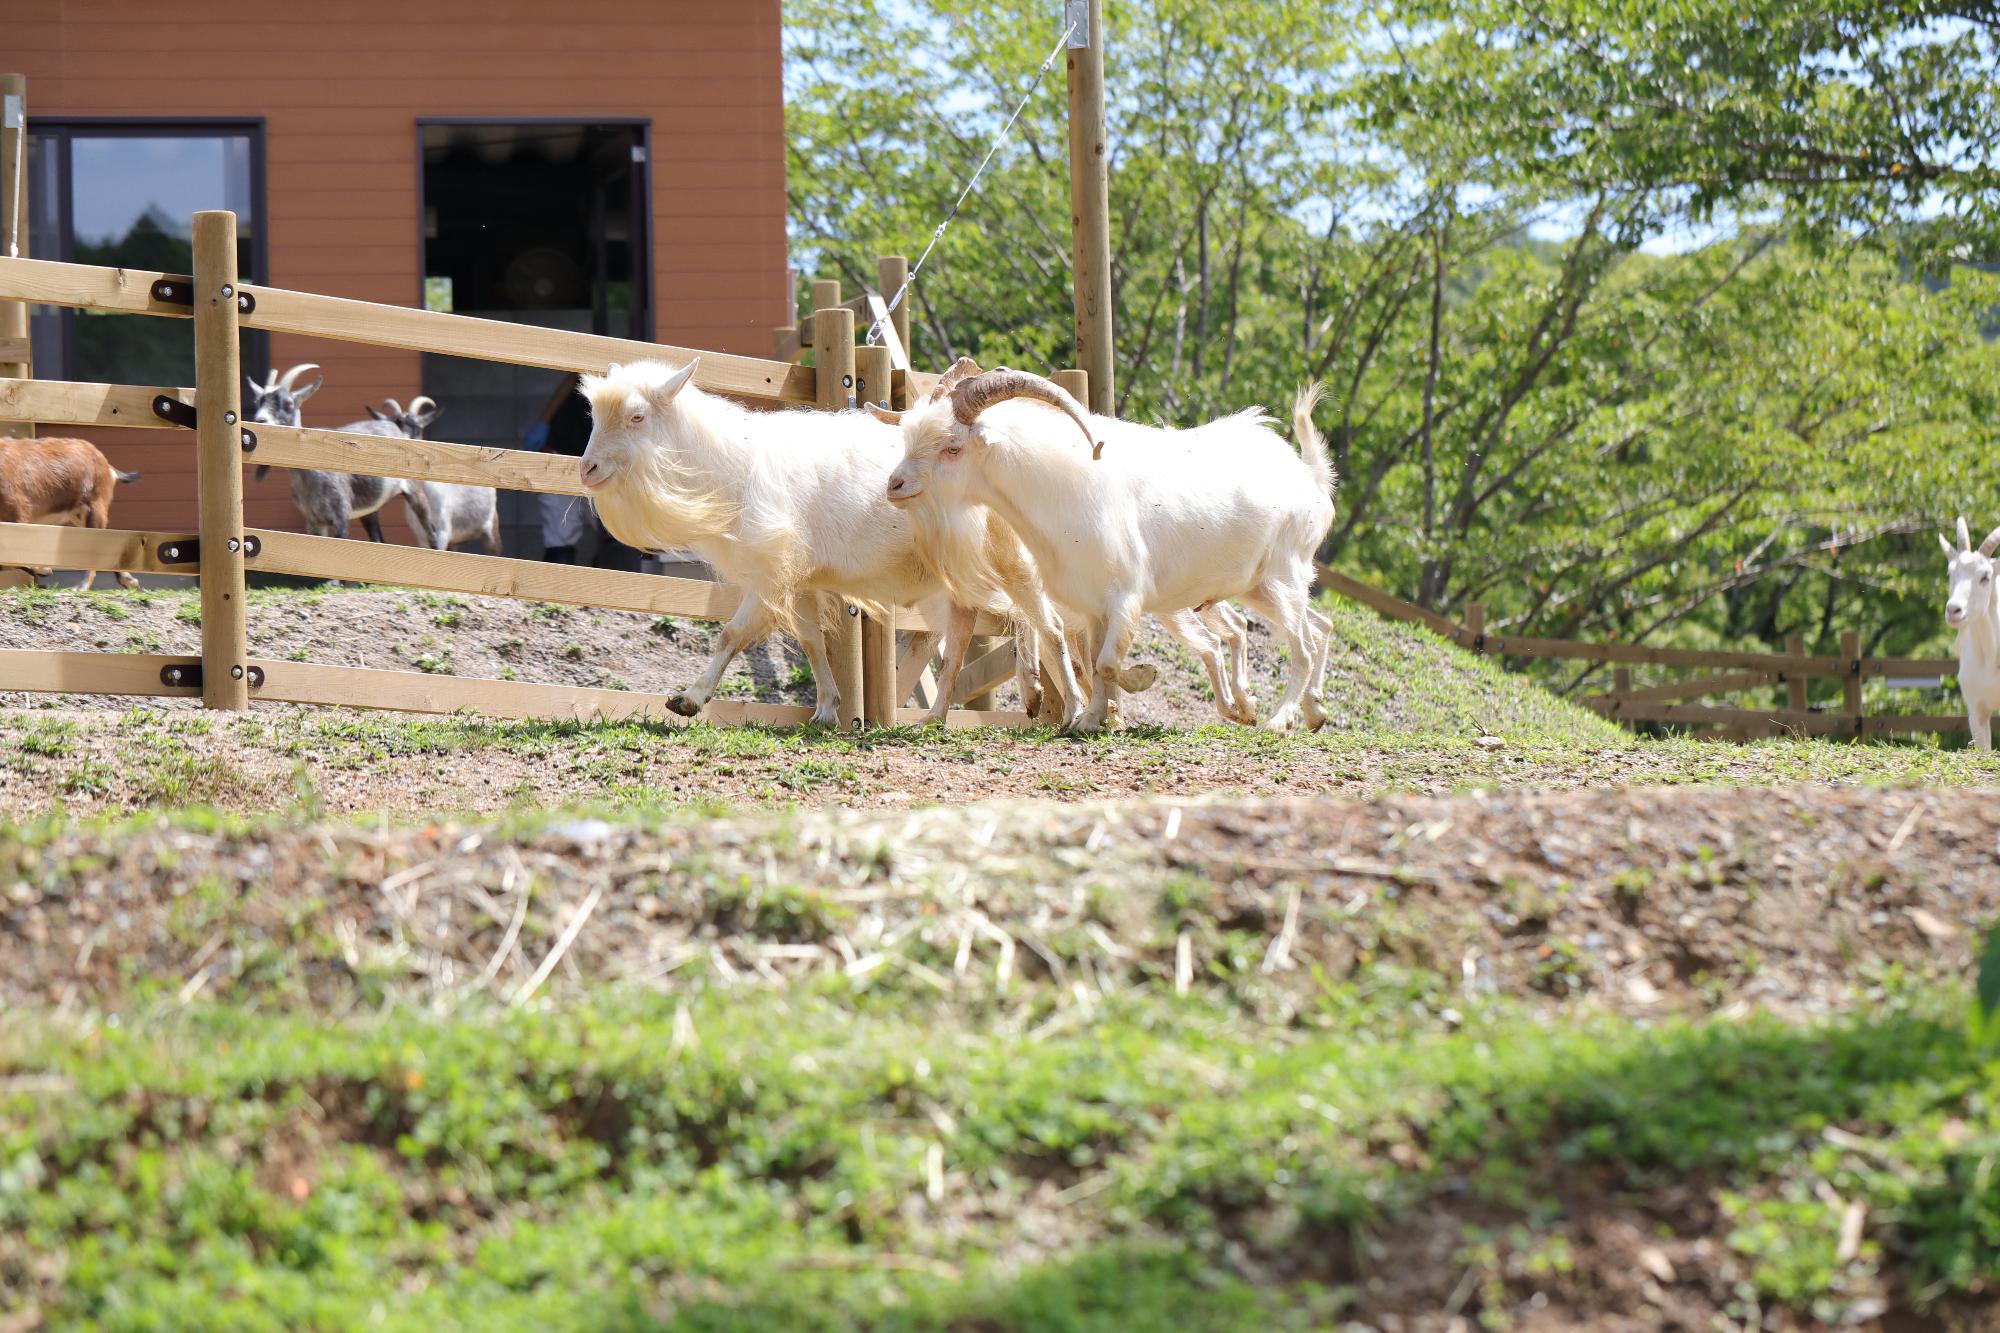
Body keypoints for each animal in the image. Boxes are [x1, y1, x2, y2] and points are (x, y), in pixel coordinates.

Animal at [0, 436, 145, 588]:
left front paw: (44, 569)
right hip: (79, 515)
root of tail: (106, 464)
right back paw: (129, 580)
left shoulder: (16, 513)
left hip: (94, 508)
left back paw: (82, 587)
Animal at [246, 364, 434, 540]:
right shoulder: (313, 521)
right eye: (257, 402)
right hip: (370, 510)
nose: (260, 420)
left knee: (431, 533)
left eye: (288, 404)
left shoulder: (340, 516)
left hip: (415, 492)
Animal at [572, 358, 1088, 720]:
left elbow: (731, 634)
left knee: (1045, 622)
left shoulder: (771, 570)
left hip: (1010, 555)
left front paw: (690, 698)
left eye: (637, 417)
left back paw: (1065, 705)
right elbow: (811, 642)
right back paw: (973, 707)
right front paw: (825, 708)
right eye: (593, 414)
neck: (731, 461)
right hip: (962, 567)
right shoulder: (798, 578)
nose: (587, 469)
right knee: (973, 628)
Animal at [884, 364, 1336, 732]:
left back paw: (1280, 720)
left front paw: (1136, 683)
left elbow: (1106, 662)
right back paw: (1304, 711)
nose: (895, 485)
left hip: (1284, 576)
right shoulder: (1093, 606)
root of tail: (1309, 477)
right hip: (1256, 587)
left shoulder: (1125, 597)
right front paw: (1092, 718)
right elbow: (1094, 661)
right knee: (1318, 627)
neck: (1059, 487)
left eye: (952, 447)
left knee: (1304, 648)